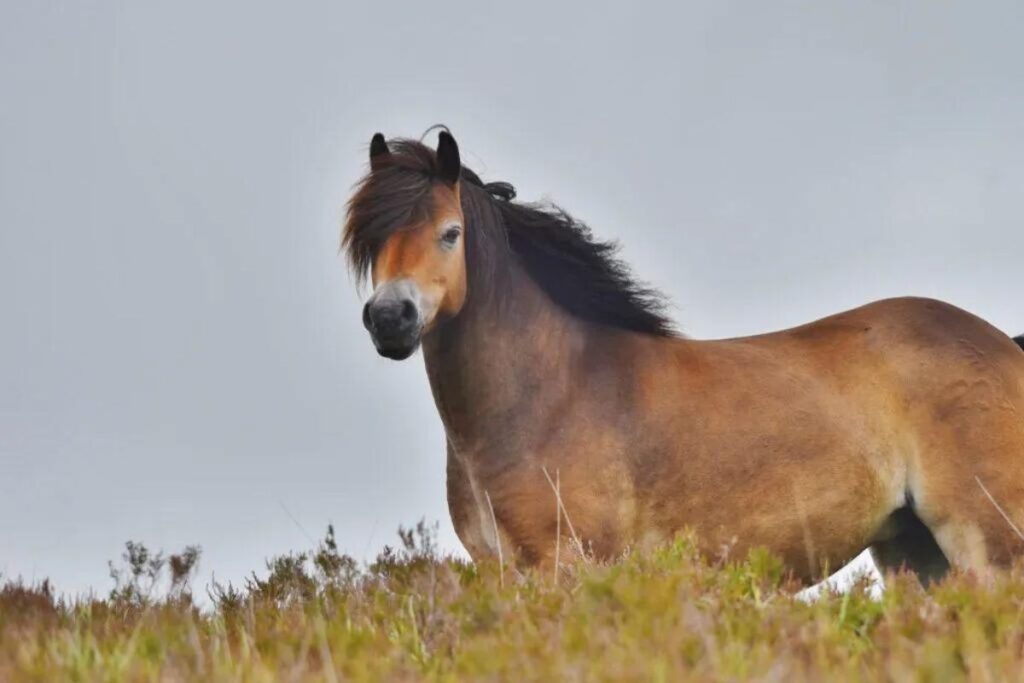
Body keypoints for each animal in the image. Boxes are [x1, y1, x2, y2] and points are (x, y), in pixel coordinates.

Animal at [342, 131, 1024, 585]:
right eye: (370, 241)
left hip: (986, 547)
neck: (548, 395)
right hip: (914, 553)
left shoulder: (569, 568)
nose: (390, 319)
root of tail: (1002, 345)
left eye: (450, 233)